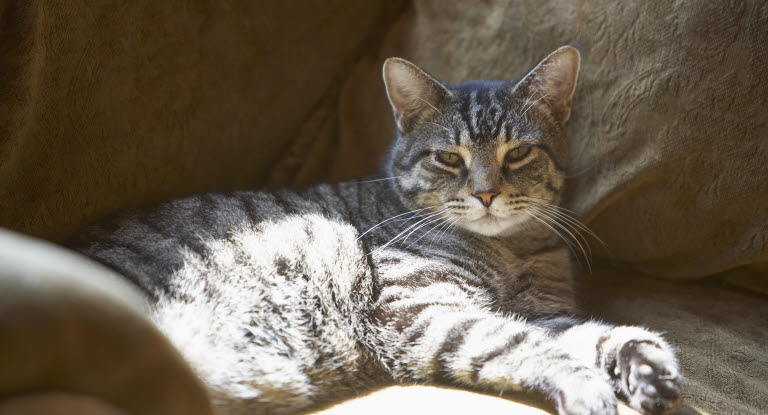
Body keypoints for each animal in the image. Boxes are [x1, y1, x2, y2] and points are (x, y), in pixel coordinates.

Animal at [70, 45, 684, 415]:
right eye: (448, 158)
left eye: (519, 153)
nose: (486, 193)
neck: (509, 250)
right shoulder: (422, 309)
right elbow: (518, 342)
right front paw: (589, 386)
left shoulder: (544, 310)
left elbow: (597, 334)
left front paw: (647, 365)